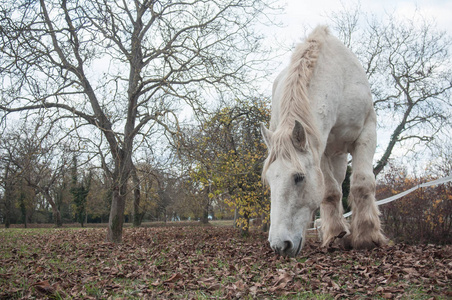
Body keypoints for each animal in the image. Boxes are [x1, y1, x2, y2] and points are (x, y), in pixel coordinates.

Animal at [262, 25, 384, 256]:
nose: (279, 245)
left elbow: (362, 183)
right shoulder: (322, 148)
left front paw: (367, 237)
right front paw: (336, 235)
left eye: (298, 177)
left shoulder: (367, 132)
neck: (339, 80)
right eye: (269, 181)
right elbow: (330, 192)